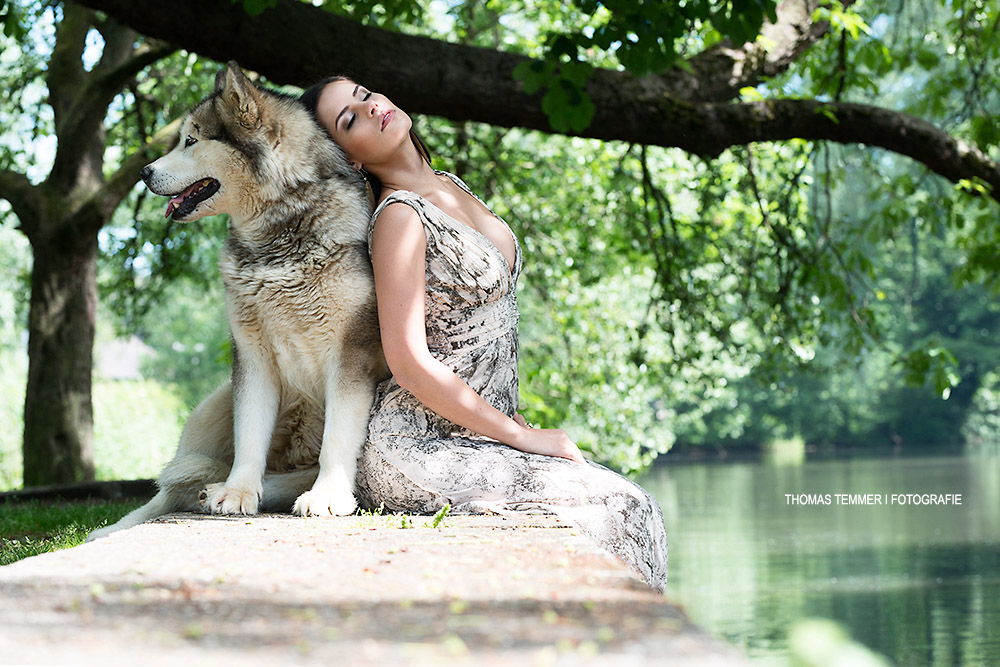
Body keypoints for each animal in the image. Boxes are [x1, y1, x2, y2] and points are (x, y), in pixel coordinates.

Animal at [89, 61, 386, 544]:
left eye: (191, 141)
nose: (145, 172)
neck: (276, 239)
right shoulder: (250, 354)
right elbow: (249, 434)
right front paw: (237, 492)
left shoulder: (351, 355)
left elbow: (337, 440)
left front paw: (327, 496)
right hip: (214, 402)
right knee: (169, 490)